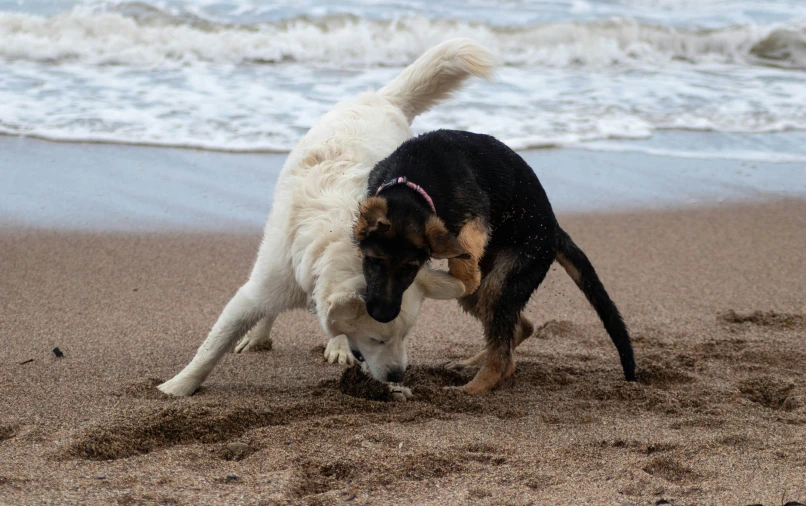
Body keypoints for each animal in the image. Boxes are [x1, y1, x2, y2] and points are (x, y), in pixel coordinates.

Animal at [159, 38, 496, 400]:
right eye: (378, 339)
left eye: (405, 335)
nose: (397, 374)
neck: (341, 244)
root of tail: (379, 99)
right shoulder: (262, 286)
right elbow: (214, 345)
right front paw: (177, 387)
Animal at [354, 128, 636, 394]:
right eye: (373, 261)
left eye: (410, 268)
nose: (382, 315)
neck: (411, 183)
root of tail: (554, 230)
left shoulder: (477, 212)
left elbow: (465, 247)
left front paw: (465, 271)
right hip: (487, 291)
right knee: (516, 332)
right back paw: (469, 364)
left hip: (507, 277)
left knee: (503, 358)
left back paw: (470, 389)